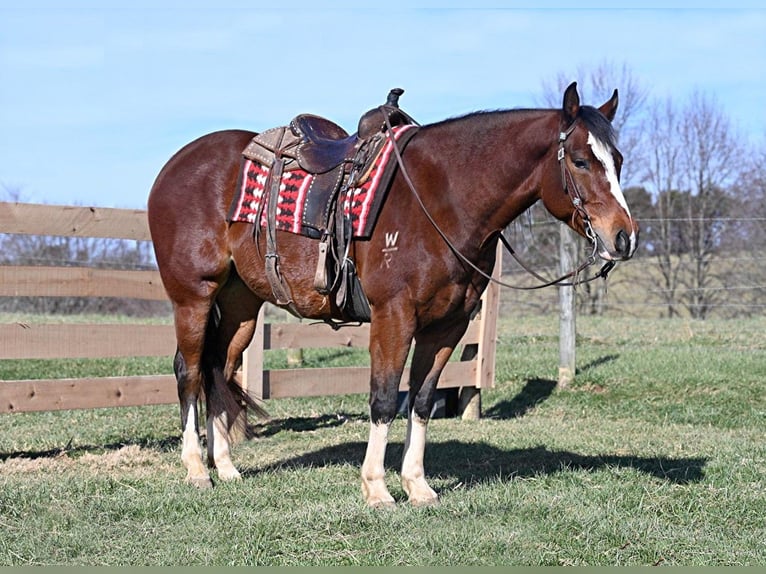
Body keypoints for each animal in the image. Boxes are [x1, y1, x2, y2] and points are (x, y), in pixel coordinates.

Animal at [147, 82, 640, 508]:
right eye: (580, 161)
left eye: (617, 159)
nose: (624, 238)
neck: (443, 197)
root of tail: (174, 166)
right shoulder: (393, 317)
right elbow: (384, 398)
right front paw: (377, 488)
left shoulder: (447, 326)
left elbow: (420, 402)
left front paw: (417, 485)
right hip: (193, 296)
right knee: (189, 371)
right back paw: (197, 469)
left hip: (241, 306)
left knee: (218, 367)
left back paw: (227, 467)